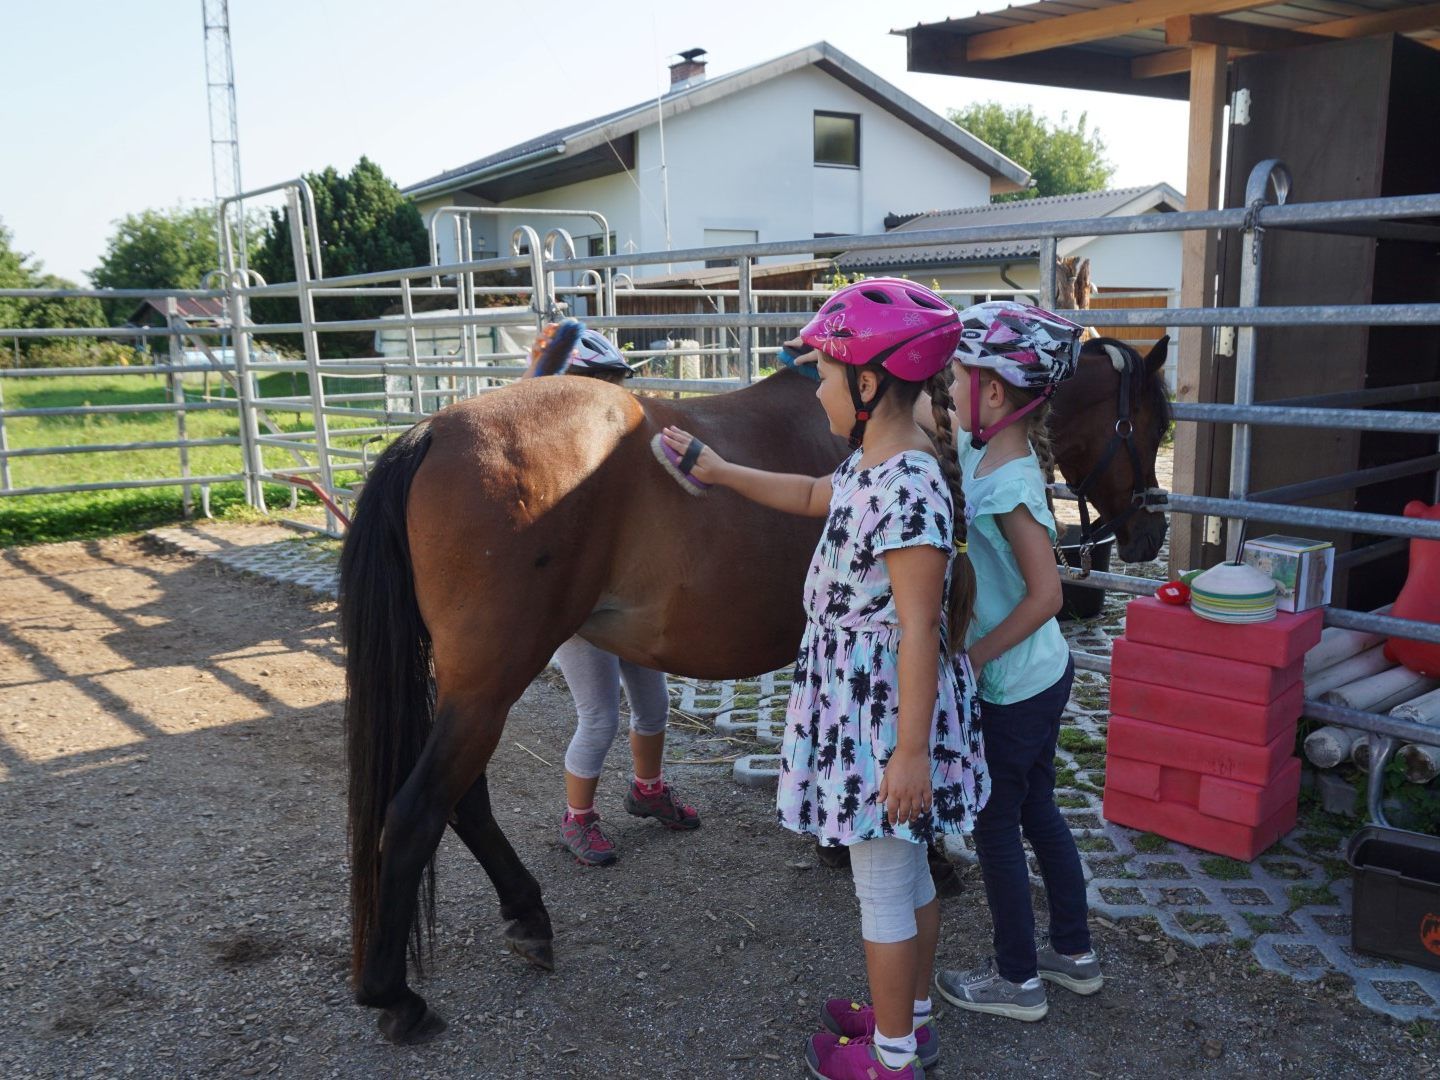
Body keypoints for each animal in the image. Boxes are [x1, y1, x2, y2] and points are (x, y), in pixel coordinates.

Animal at [336, 336, 1169, 1042]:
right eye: (1153, 422)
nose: (1150, 535)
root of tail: (430, 434)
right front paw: (925, 862)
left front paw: (837, 846)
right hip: (489, 684)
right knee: (417, 812)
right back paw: (395, 996)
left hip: (471, 687)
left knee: (463, 804)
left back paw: (526, 914)